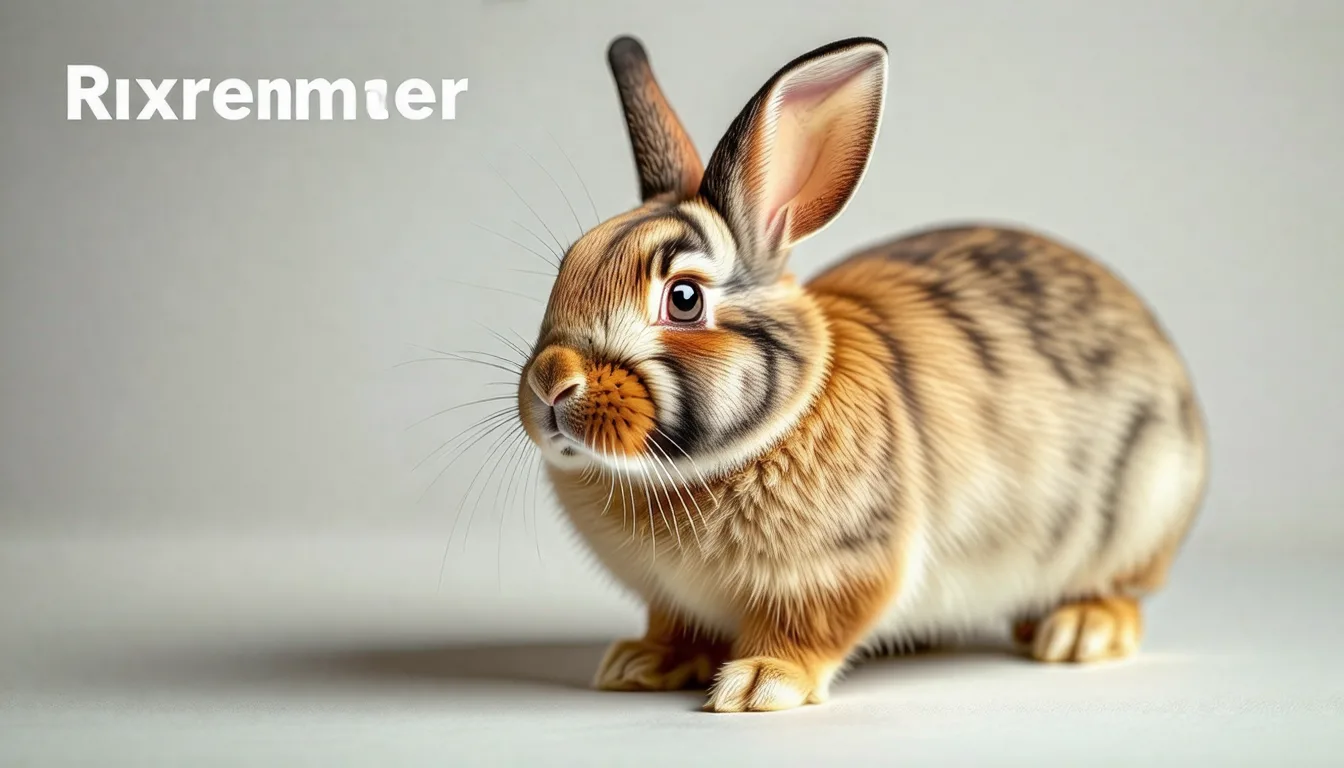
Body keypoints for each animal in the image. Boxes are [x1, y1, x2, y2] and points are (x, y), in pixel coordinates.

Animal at [514, 34, 1209, 713]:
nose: (551, 382)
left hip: (1141, 509)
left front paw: (759, 684)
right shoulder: (671, 598)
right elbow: (675, 627)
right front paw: (641, 664)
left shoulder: (842, 568)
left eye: (684, 299)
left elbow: (808, 629)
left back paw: (1080, 630)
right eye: (567, 269)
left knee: (1120, 588)